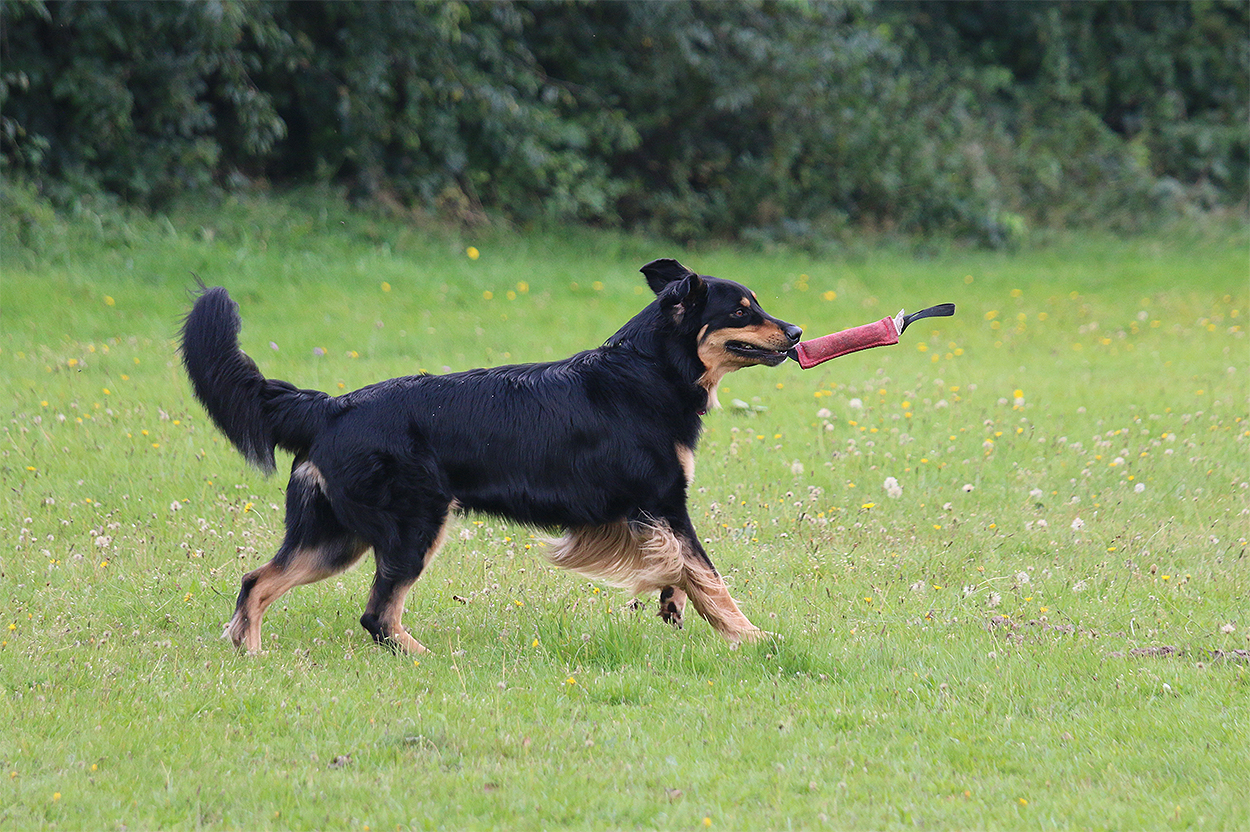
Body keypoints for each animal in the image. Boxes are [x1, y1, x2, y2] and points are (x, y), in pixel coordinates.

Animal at [181, 258, 801, 654]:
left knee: (257, 580)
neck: (648, 371)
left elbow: (680, 570)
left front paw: (673, 605)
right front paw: (752, 638)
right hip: (411, 526)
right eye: (742, 310)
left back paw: (249, 652)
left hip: (335, 536)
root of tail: (331, 408)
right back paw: (425, 657)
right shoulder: (663, 502)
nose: (796, 331)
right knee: (376, 614)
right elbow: (708, 576)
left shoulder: (649, 513)